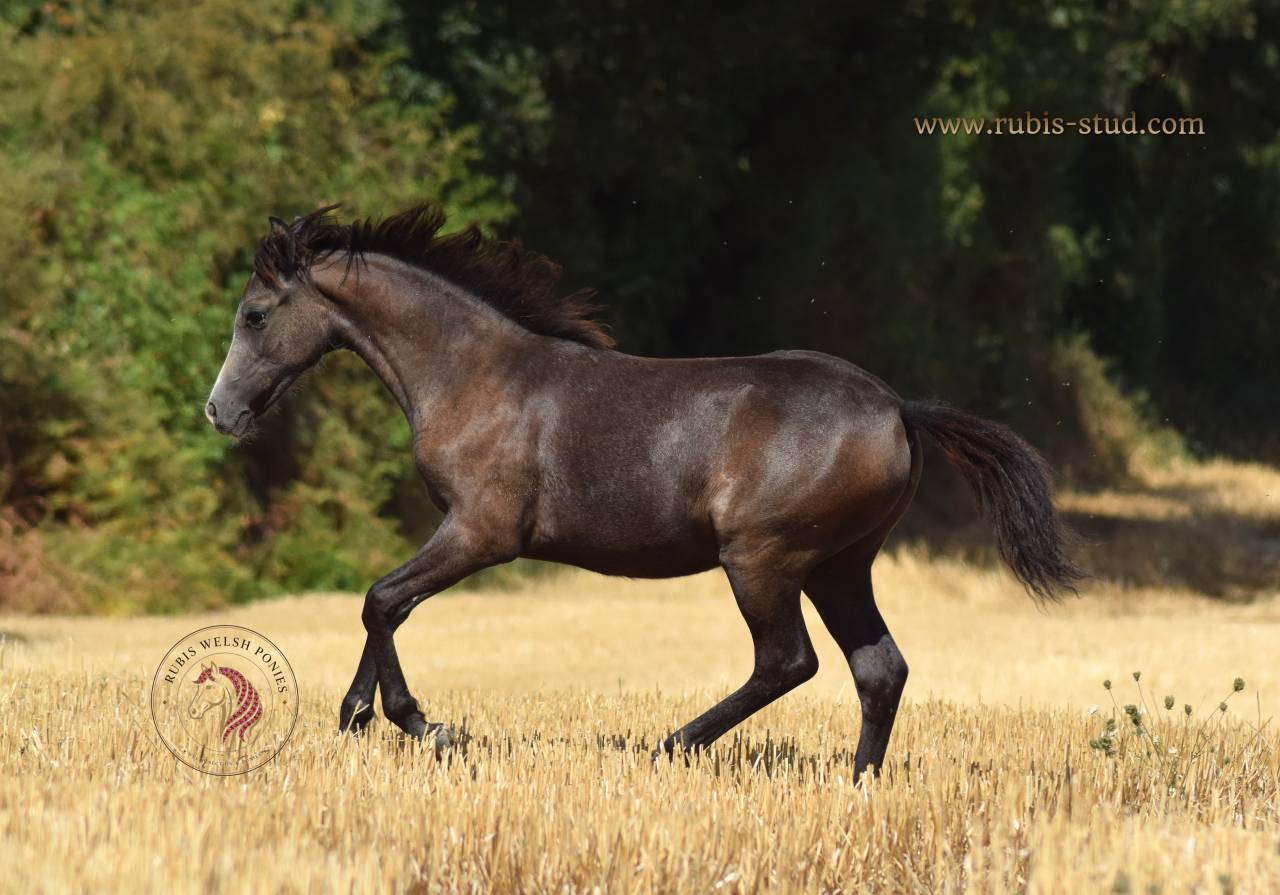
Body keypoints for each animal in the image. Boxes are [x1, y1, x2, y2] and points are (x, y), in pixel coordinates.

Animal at [204, 203, 1083, 776]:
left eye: (255, 314)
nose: (220, 410)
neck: (473, 374)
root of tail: (901, 408)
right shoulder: (463, 533)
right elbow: (386, 603)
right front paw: (358, 716)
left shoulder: (483, 531)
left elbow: (382, 598)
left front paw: (422, 725)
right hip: (841, 564)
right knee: (879, 667)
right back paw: (856, 779)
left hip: (763, 558)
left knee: (788, 660)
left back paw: (672, 745)